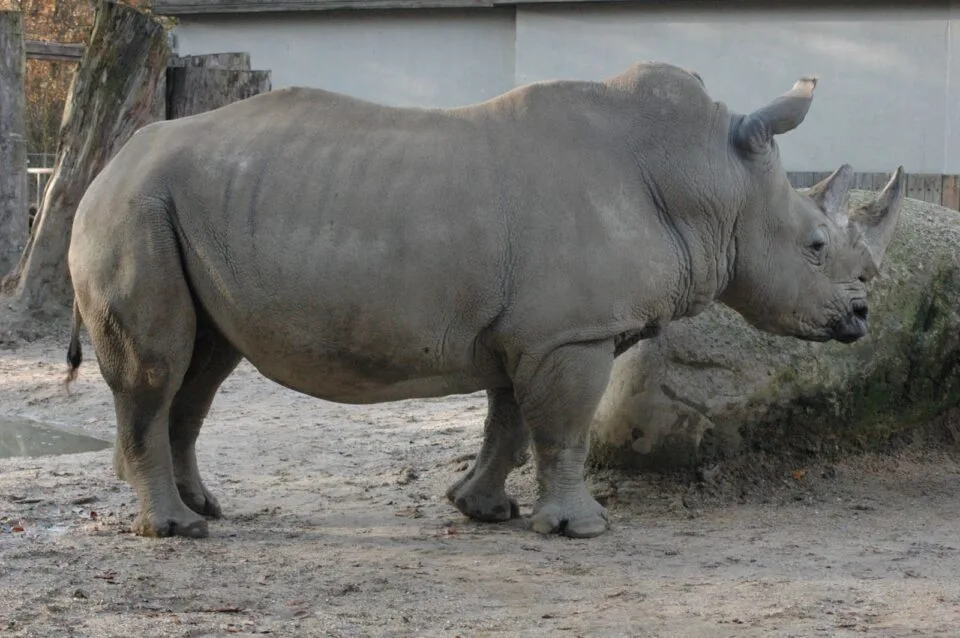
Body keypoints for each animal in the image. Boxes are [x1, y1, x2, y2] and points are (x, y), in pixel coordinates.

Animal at [65, 61, 902, 540]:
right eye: (815, 246)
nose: (861, 317)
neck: (708, 181)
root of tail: (109, 165)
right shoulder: (571, 332)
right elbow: (561, 429)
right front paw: (581, 530)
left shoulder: (531, 330)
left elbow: (510, 423)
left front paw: (482, 509)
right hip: (134, 209)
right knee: (159, 371)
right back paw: (175, 530)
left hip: (180, 210)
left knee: (203, 367)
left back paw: (204, 508)